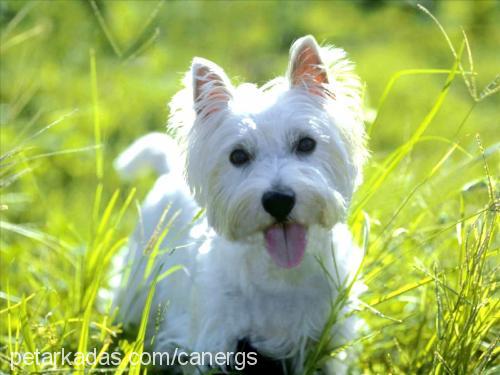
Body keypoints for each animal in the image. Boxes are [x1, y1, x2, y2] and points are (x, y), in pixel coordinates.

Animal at [116, 34, 368, 374]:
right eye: (238, 155)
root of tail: (169, 169)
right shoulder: (214, 342)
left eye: (306, 143)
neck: (281, 276)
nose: (278, 201)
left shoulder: (329, 338)